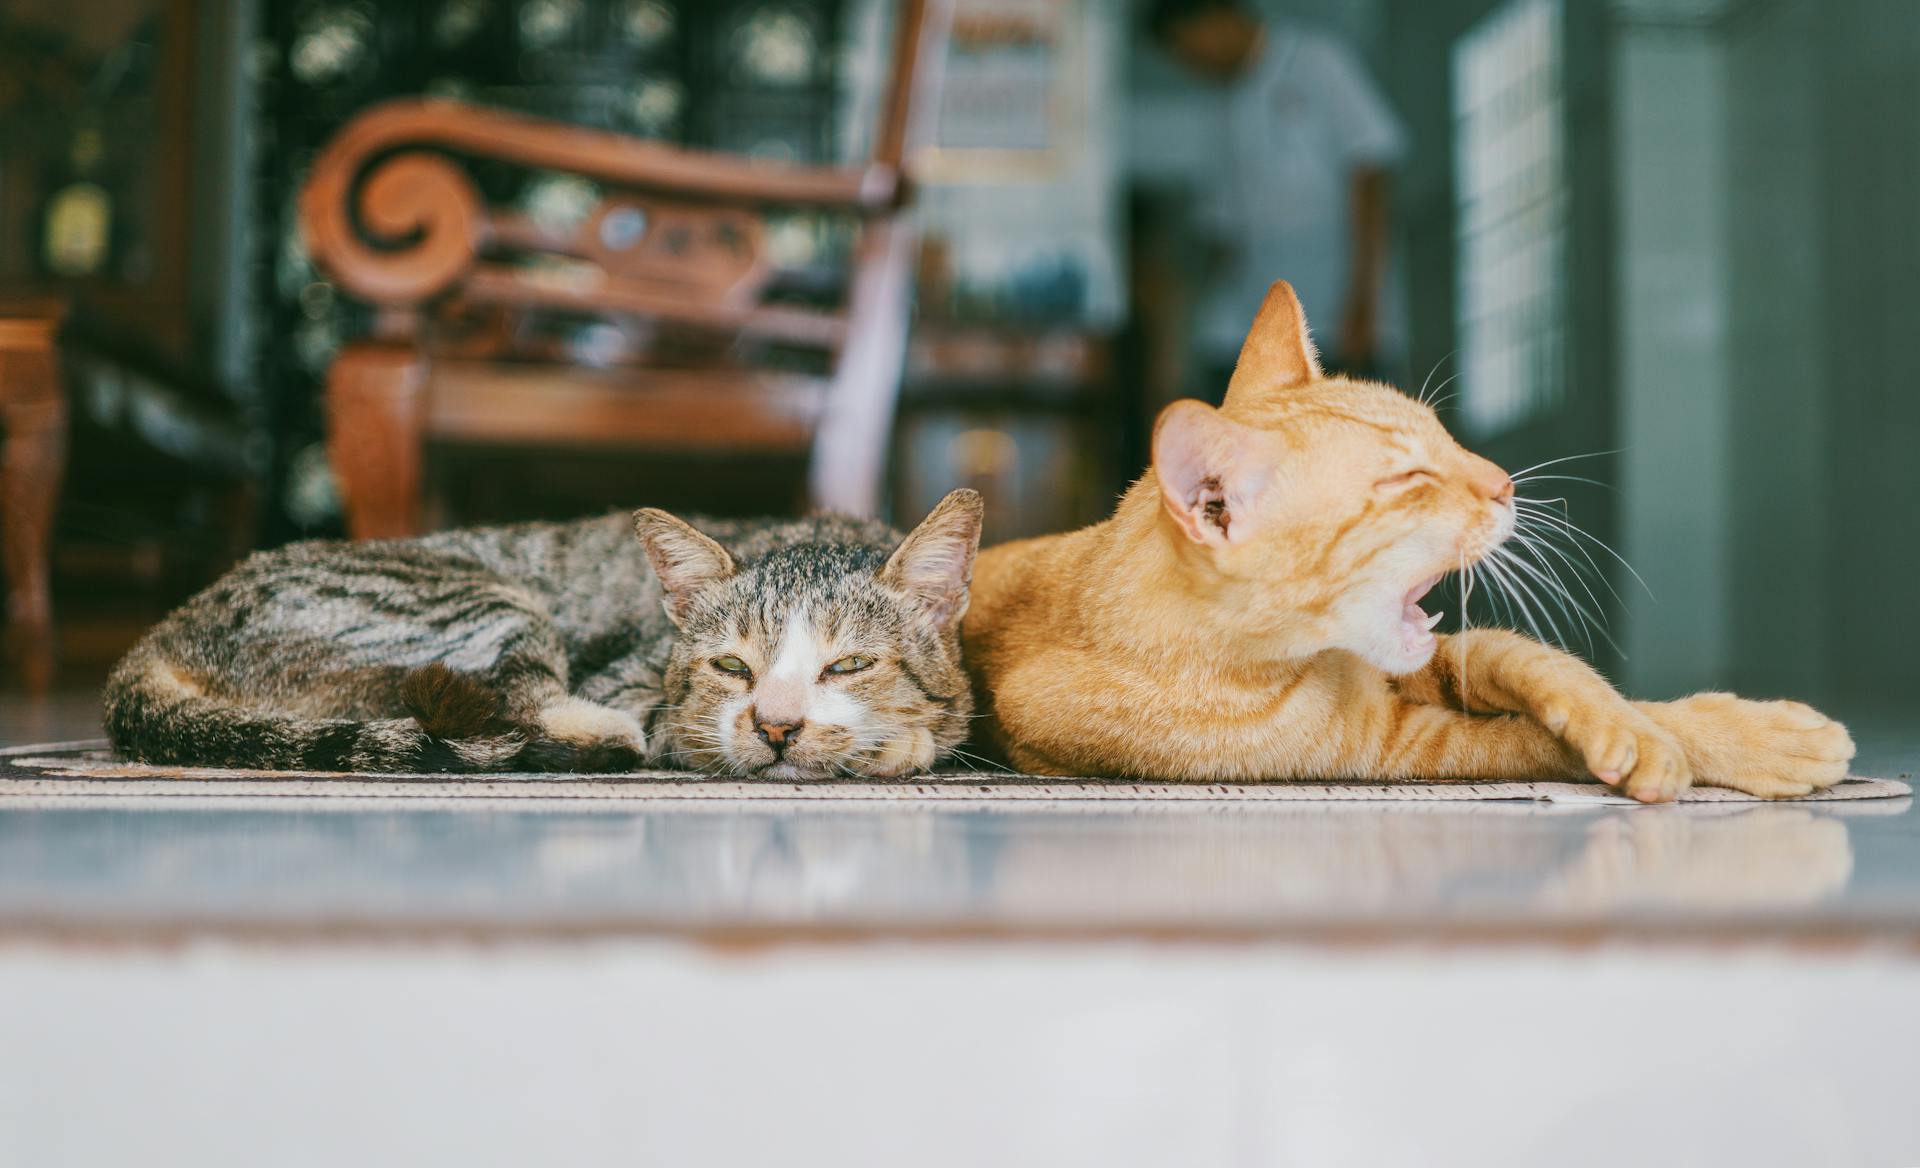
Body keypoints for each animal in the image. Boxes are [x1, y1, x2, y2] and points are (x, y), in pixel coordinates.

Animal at [103, 487, 983, 779]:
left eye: (852, 664)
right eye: (732, 666)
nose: (776, 724)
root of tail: (163, 634)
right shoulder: (642, 686)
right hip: (490, 601)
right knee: (533, 709)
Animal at [967, 280, 1850, 803]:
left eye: (1445, 438)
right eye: (1407, 481)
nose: (1504, 481)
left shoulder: (1445, 660)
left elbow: (1541, 665)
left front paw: (1668, 725)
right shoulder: (1391, 749)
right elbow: (1534, 743)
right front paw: (1687, 747)